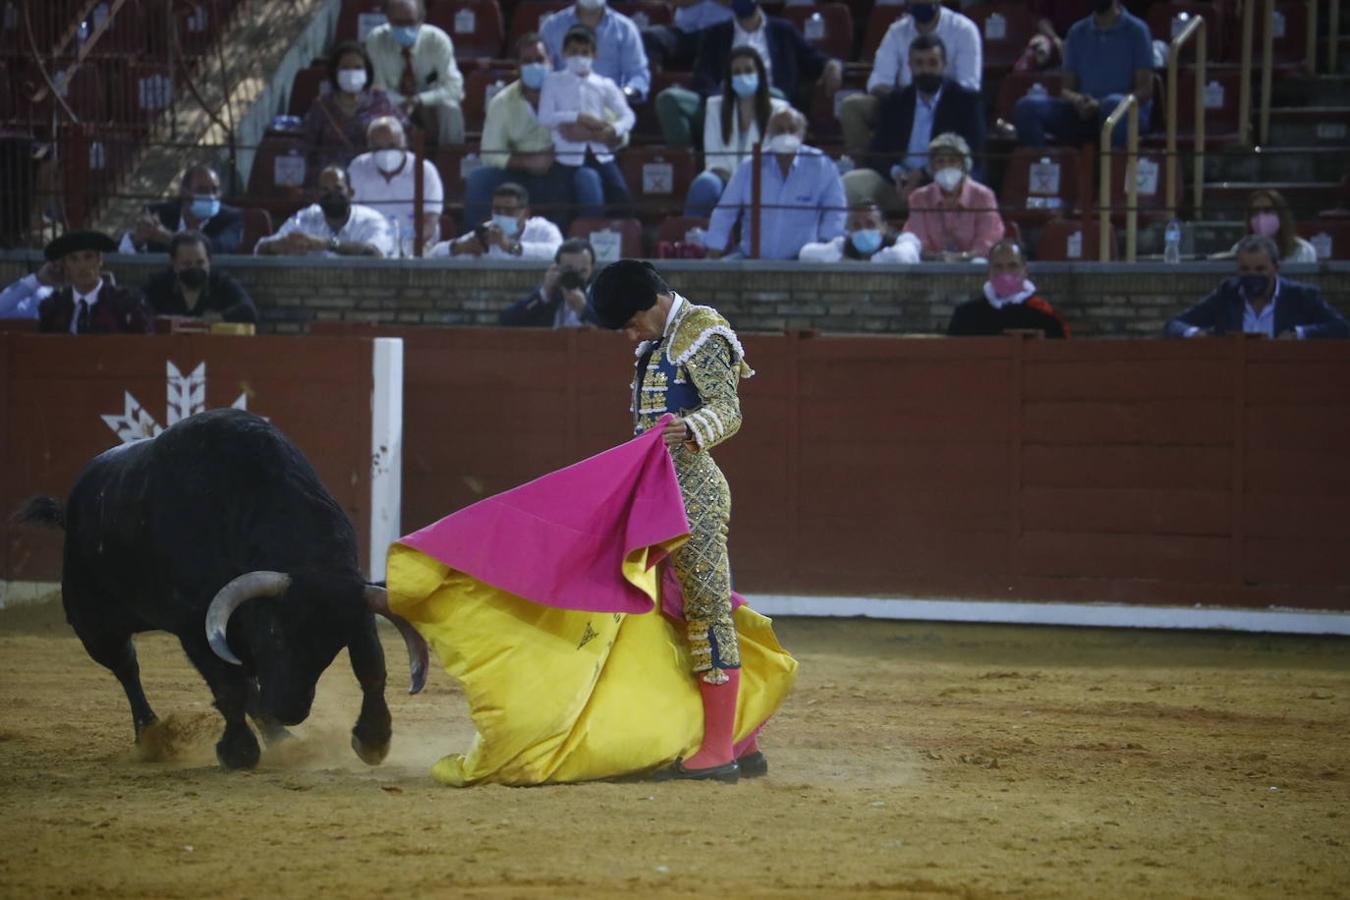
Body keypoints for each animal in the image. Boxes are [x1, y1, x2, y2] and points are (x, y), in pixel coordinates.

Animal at [14, 412, 426, 771]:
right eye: (275, 634)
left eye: (332, 646)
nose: (290, 709)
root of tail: (72, 506)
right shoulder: (196, 625)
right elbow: (230, 687)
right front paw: (238, 752)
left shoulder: (353, 606)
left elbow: (371, 665)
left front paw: (373, 739)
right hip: (93, 625)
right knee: (127, 665)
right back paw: (151, 734)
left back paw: (283, 741)